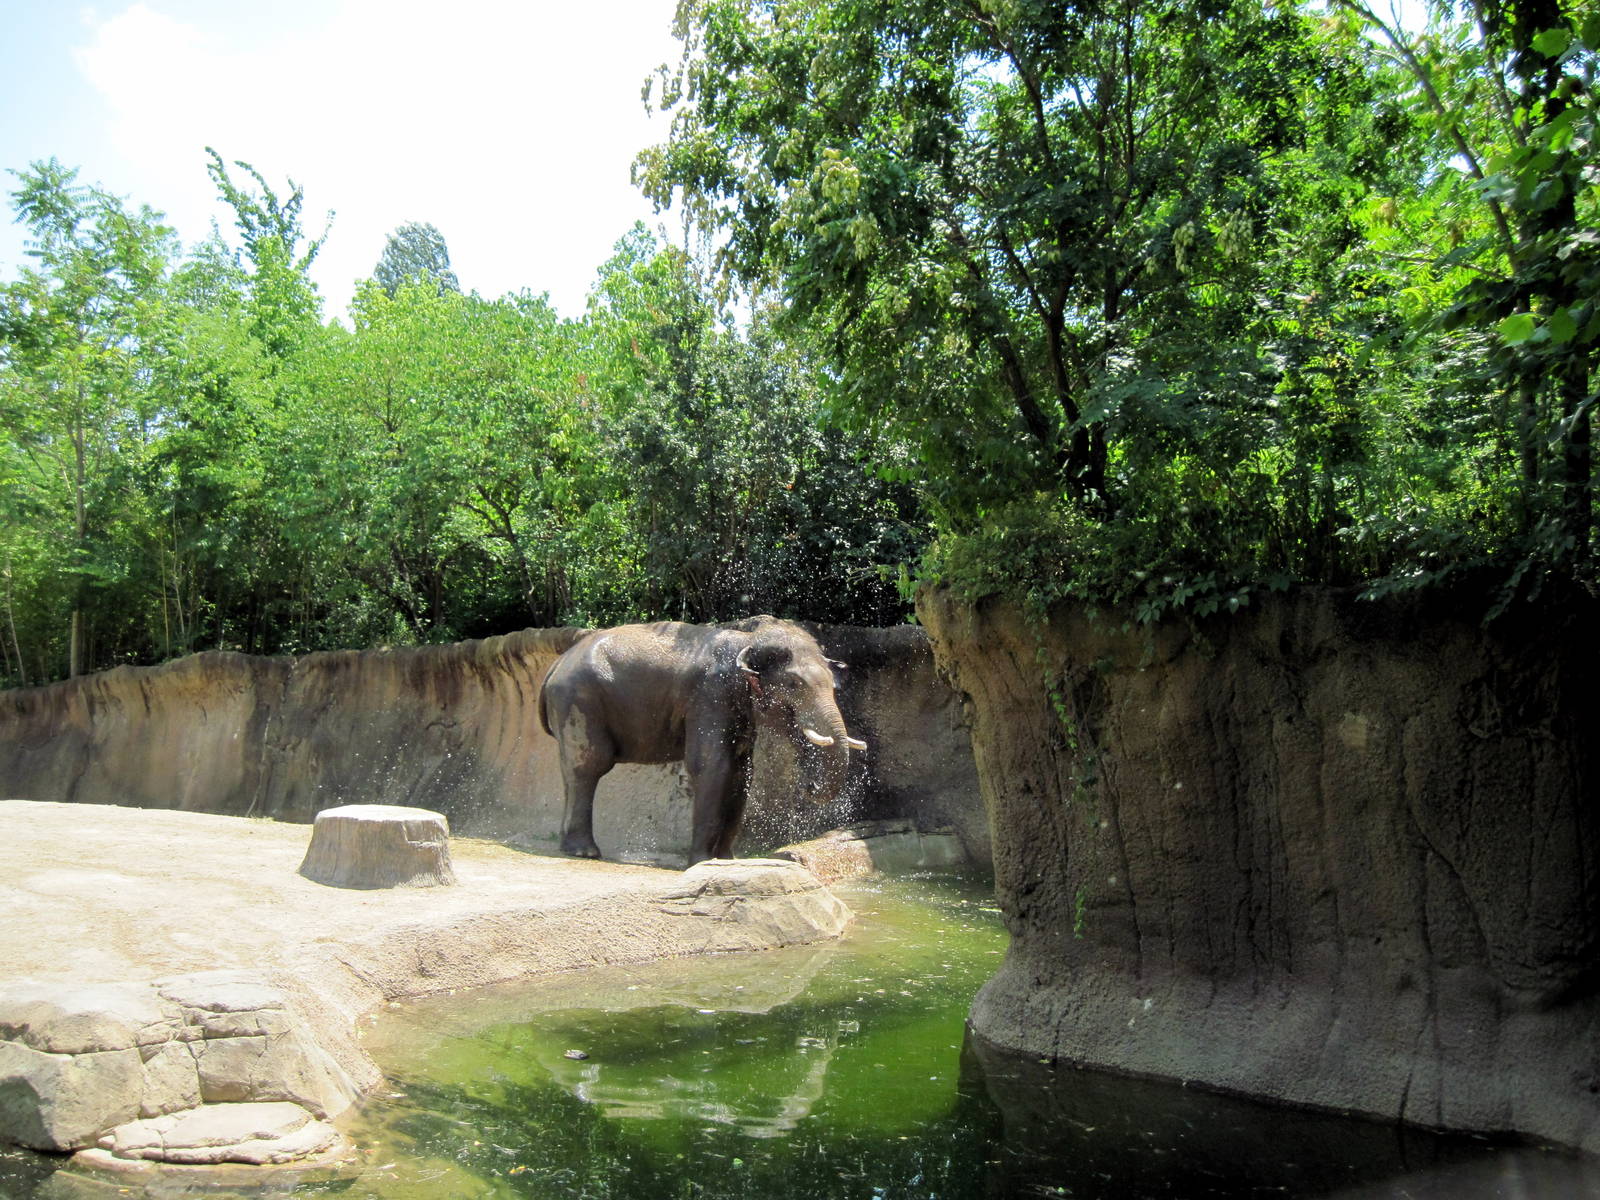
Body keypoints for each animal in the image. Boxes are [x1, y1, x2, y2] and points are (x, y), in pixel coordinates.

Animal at [537, 616, 867, 866]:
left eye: (833, 685)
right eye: (794, 684)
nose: (809, 786)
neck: (748, 640)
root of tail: (555, 665)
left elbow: (742, 774)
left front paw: (727, 862)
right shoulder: (710, 696)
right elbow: (712, 766)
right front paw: (702, 863)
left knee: (574, 771)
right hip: (579, 700)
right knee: (589, 765)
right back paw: (585, 852)